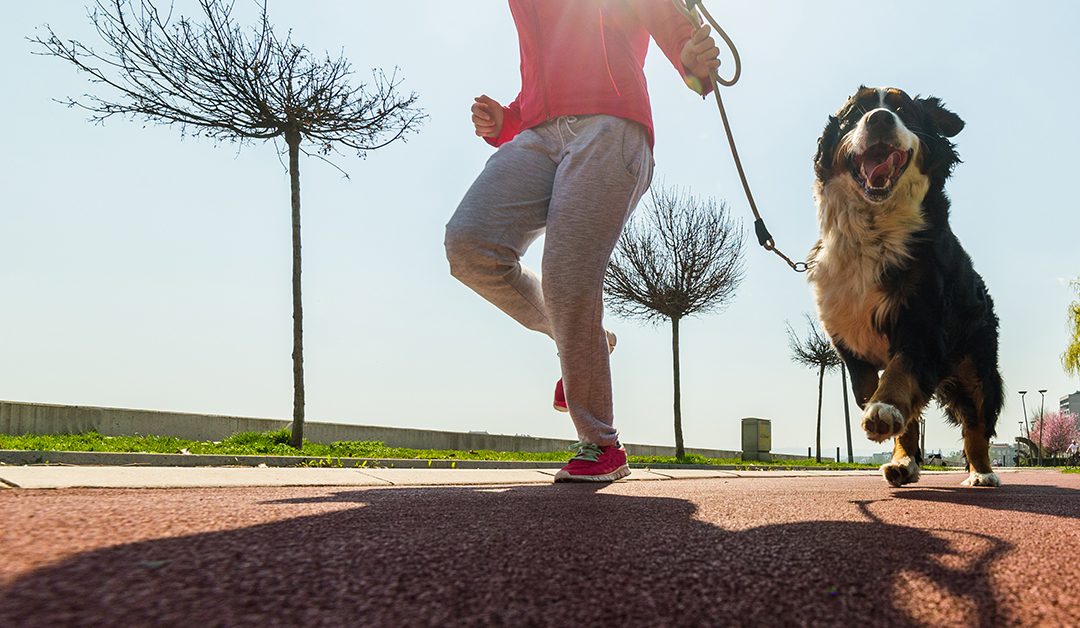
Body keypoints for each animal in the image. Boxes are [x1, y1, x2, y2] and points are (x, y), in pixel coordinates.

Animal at [807, 85, 997, 486]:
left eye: (903, 110)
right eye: (855, 113)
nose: (879, 118)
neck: (873, 228)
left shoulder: (922, 324)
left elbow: (899, 374)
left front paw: (886, 408)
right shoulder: (851, 347)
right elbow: (877, 394)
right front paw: (890, 427)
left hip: (977, 366)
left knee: (977, 423)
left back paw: (982, 473)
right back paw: (903, 463)